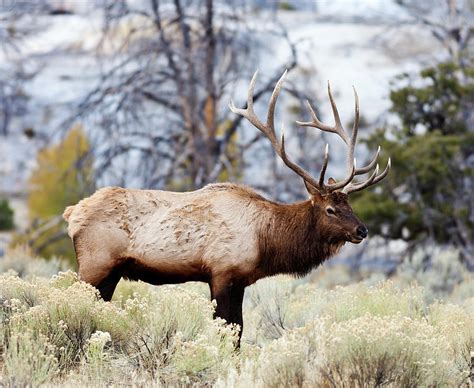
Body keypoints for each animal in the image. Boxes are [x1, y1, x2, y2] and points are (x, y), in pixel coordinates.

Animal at [63, 70, 388, 342]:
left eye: (349, 204)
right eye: (330, 209)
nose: (362, 230)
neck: (265, 240)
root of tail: (72, 213)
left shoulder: (241, 280)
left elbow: (239, 330)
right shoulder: (221, 271)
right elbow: (227, 328)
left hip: (111, 272)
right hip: (94, 264)